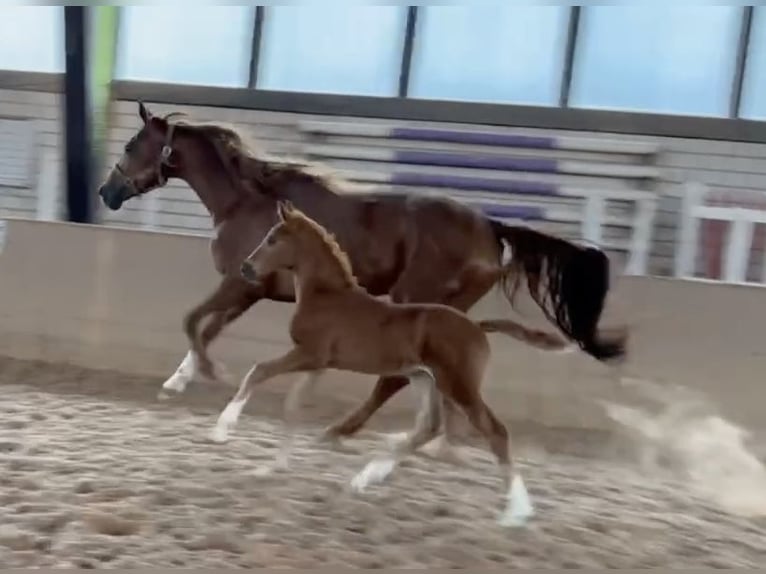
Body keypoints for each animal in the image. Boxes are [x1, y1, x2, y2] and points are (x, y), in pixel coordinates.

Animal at [208, 202, 564, 532]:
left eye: (272, 239)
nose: (246, 268)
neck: (325, 295)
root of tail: (477, 327)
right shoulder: (318, 364)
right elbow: (293, 406)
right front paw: (273, 467)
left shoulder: (309, 354)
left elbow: (259, 370)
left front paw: (222, 429)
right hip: (424, 379)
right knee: (429, 426)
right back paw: (365, 478)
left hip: (458, 384)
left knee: (495, 431)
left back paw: (516, 512)